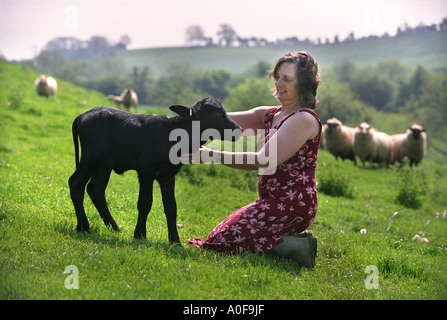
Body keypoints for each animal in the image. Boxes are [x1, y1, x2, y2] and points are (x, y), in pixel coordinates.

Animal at [68, 97, 242, 245]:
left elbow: (171, 207)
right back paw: (83, 226)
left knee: (95, 189)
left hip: (104, 164)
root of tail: (83, 115)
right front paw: (140, 235)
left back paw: (114, 228)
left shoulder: (168, 175)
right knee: (75, 183)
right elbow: (145, 202)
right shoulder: (146, 171)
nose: (238, 129)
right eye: (217, 114)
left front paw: (175, 241)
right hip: (91, 158)